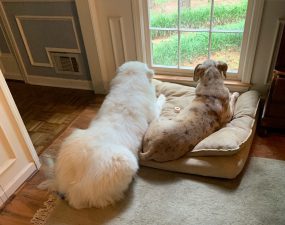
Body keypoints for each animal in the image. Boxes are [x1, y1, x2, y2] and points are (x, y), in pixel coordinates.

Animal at [39, 60, 164, 208]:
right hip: (126, 161)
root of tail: (71, 187)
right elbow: (159, 103)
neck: (129, 82)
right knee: (103, 200)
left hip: (72, 137)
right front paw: (163, 95)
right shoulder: (154, 114)